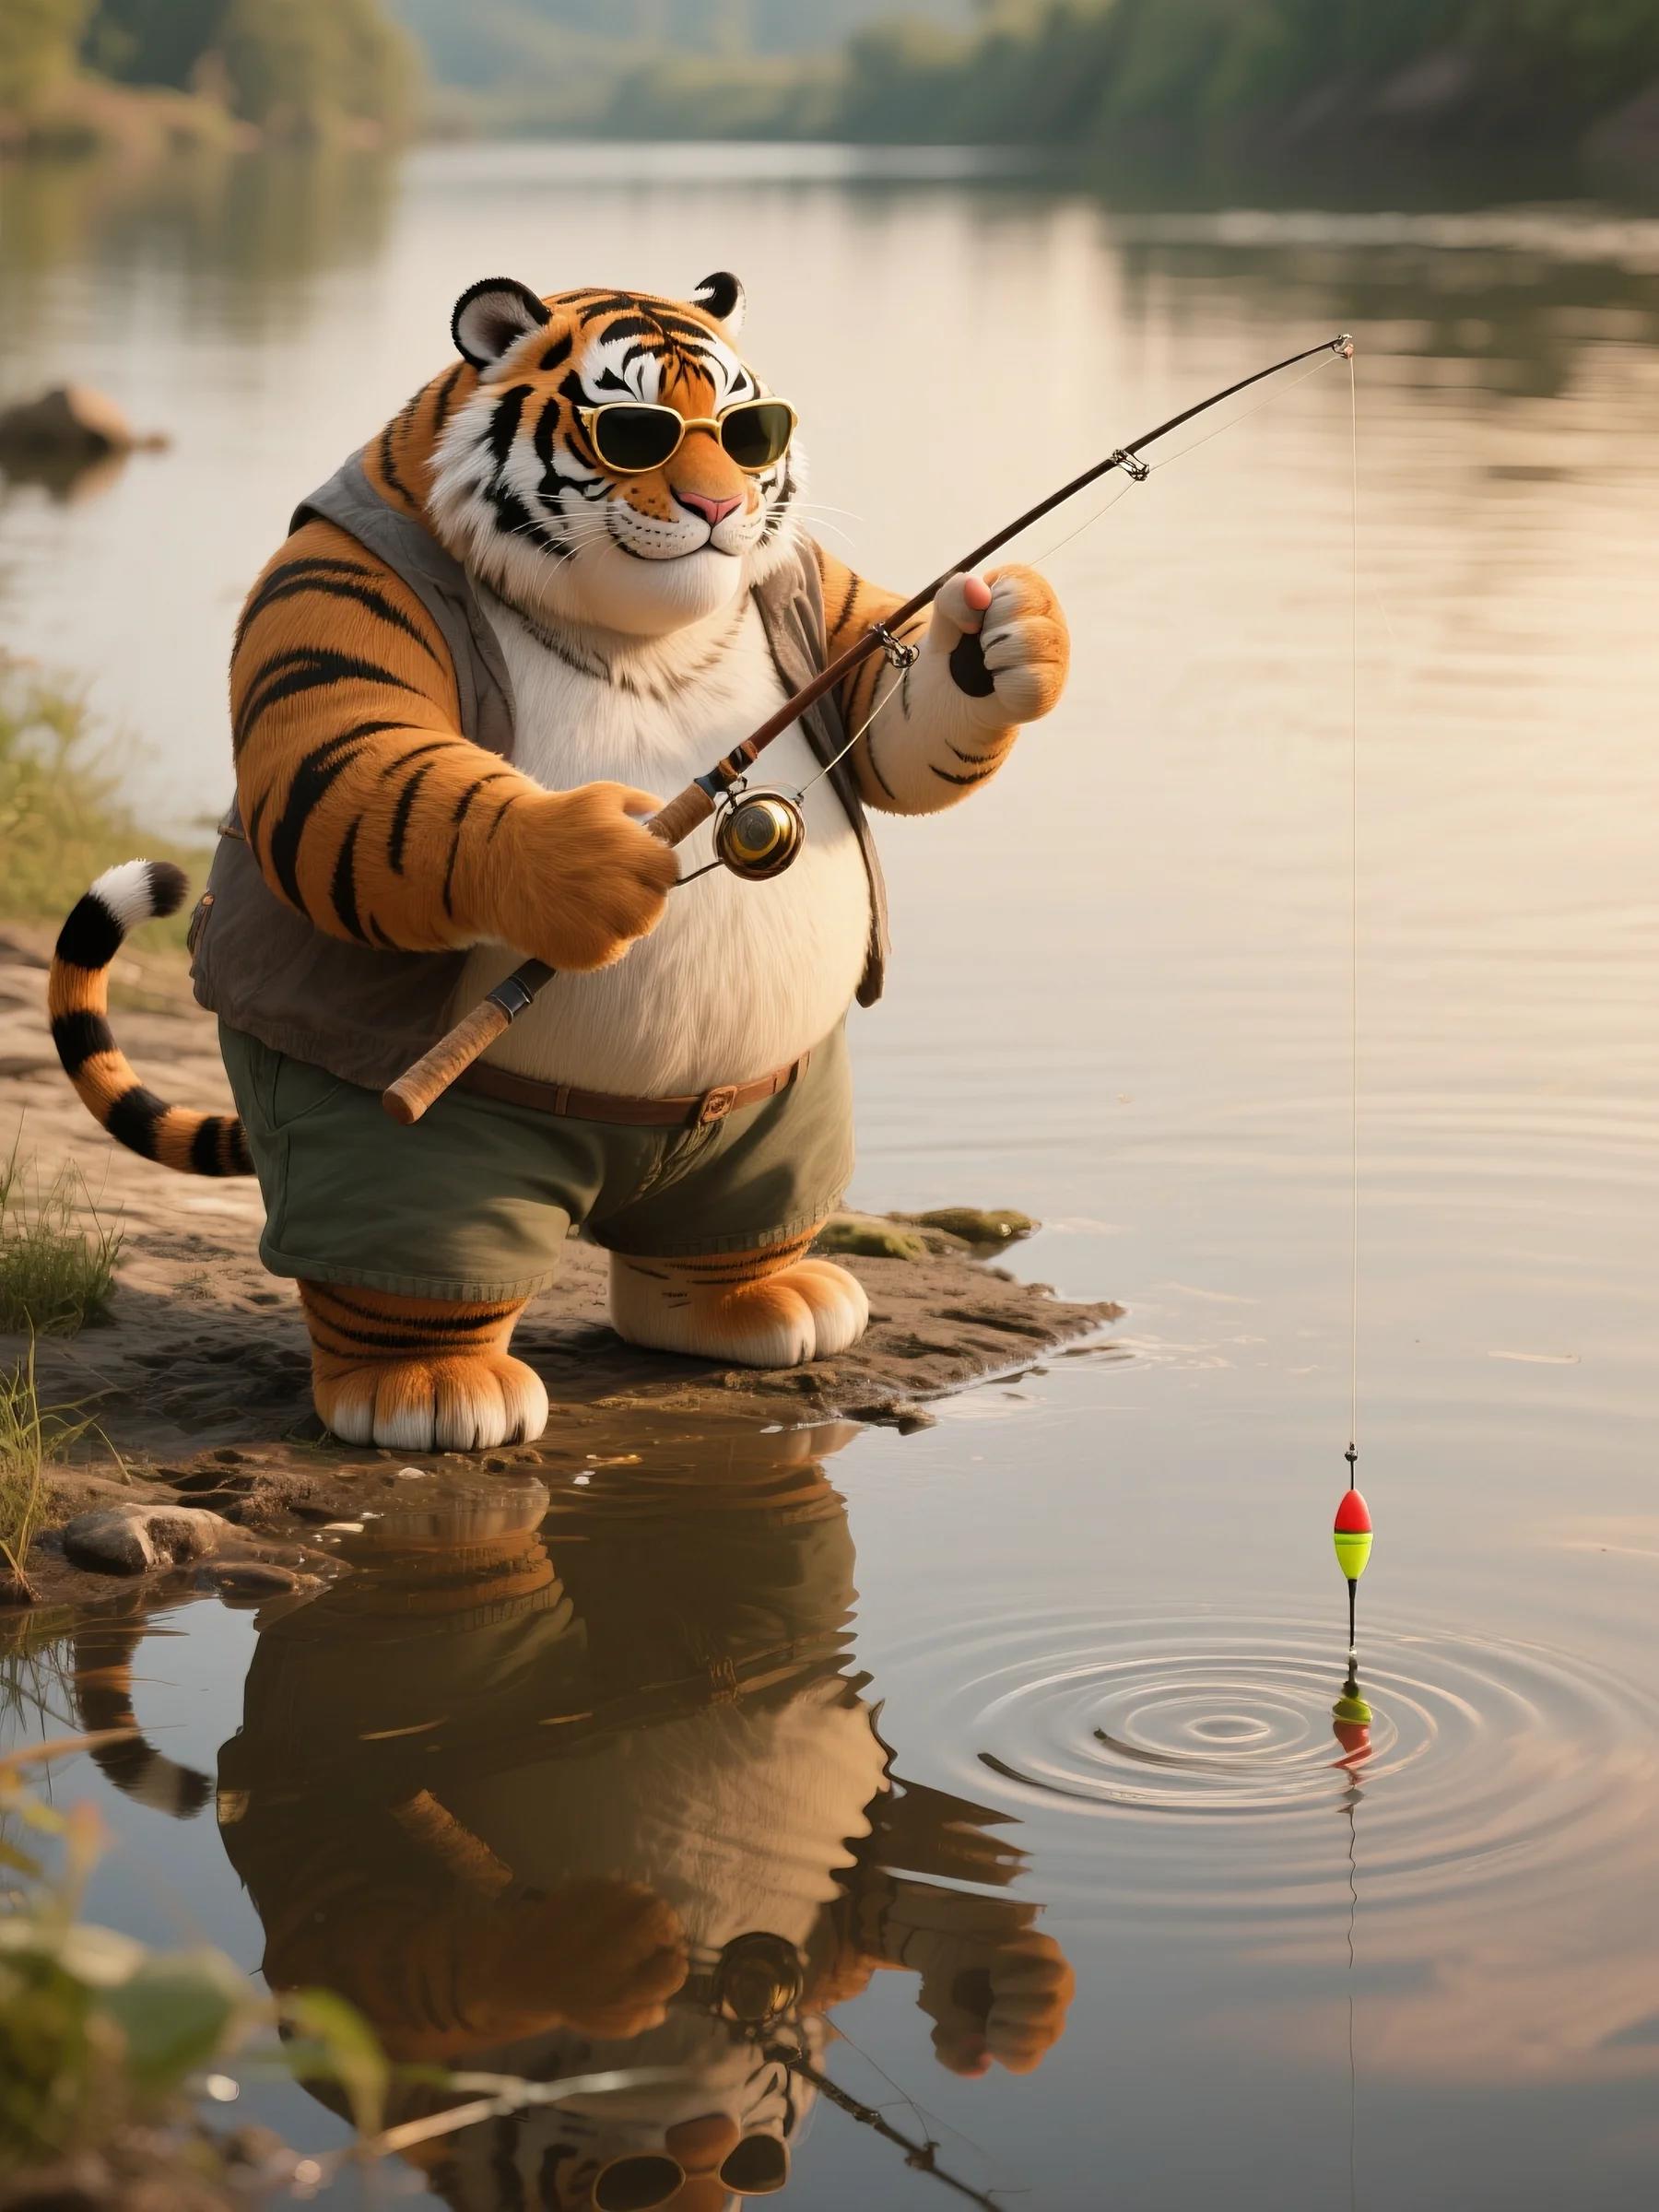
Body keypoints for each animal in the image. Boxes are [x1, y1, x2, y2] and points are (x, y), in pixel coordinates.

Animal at [50, 271, 1071, 1453]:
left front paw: (1008, 629)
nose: (721, 507)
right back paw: (430, 1391)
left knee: (728, 1231)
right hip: (417, 1153)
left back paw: (768, 1302)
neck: (646, 635)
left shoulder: (834, 612)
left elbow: (896, 740)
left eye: (749, 430)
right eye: (634, 429)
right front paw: (591, 862)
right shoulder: (336, 605)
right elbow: (362, 774)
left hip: (780, 1108)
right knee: (405, 1266)